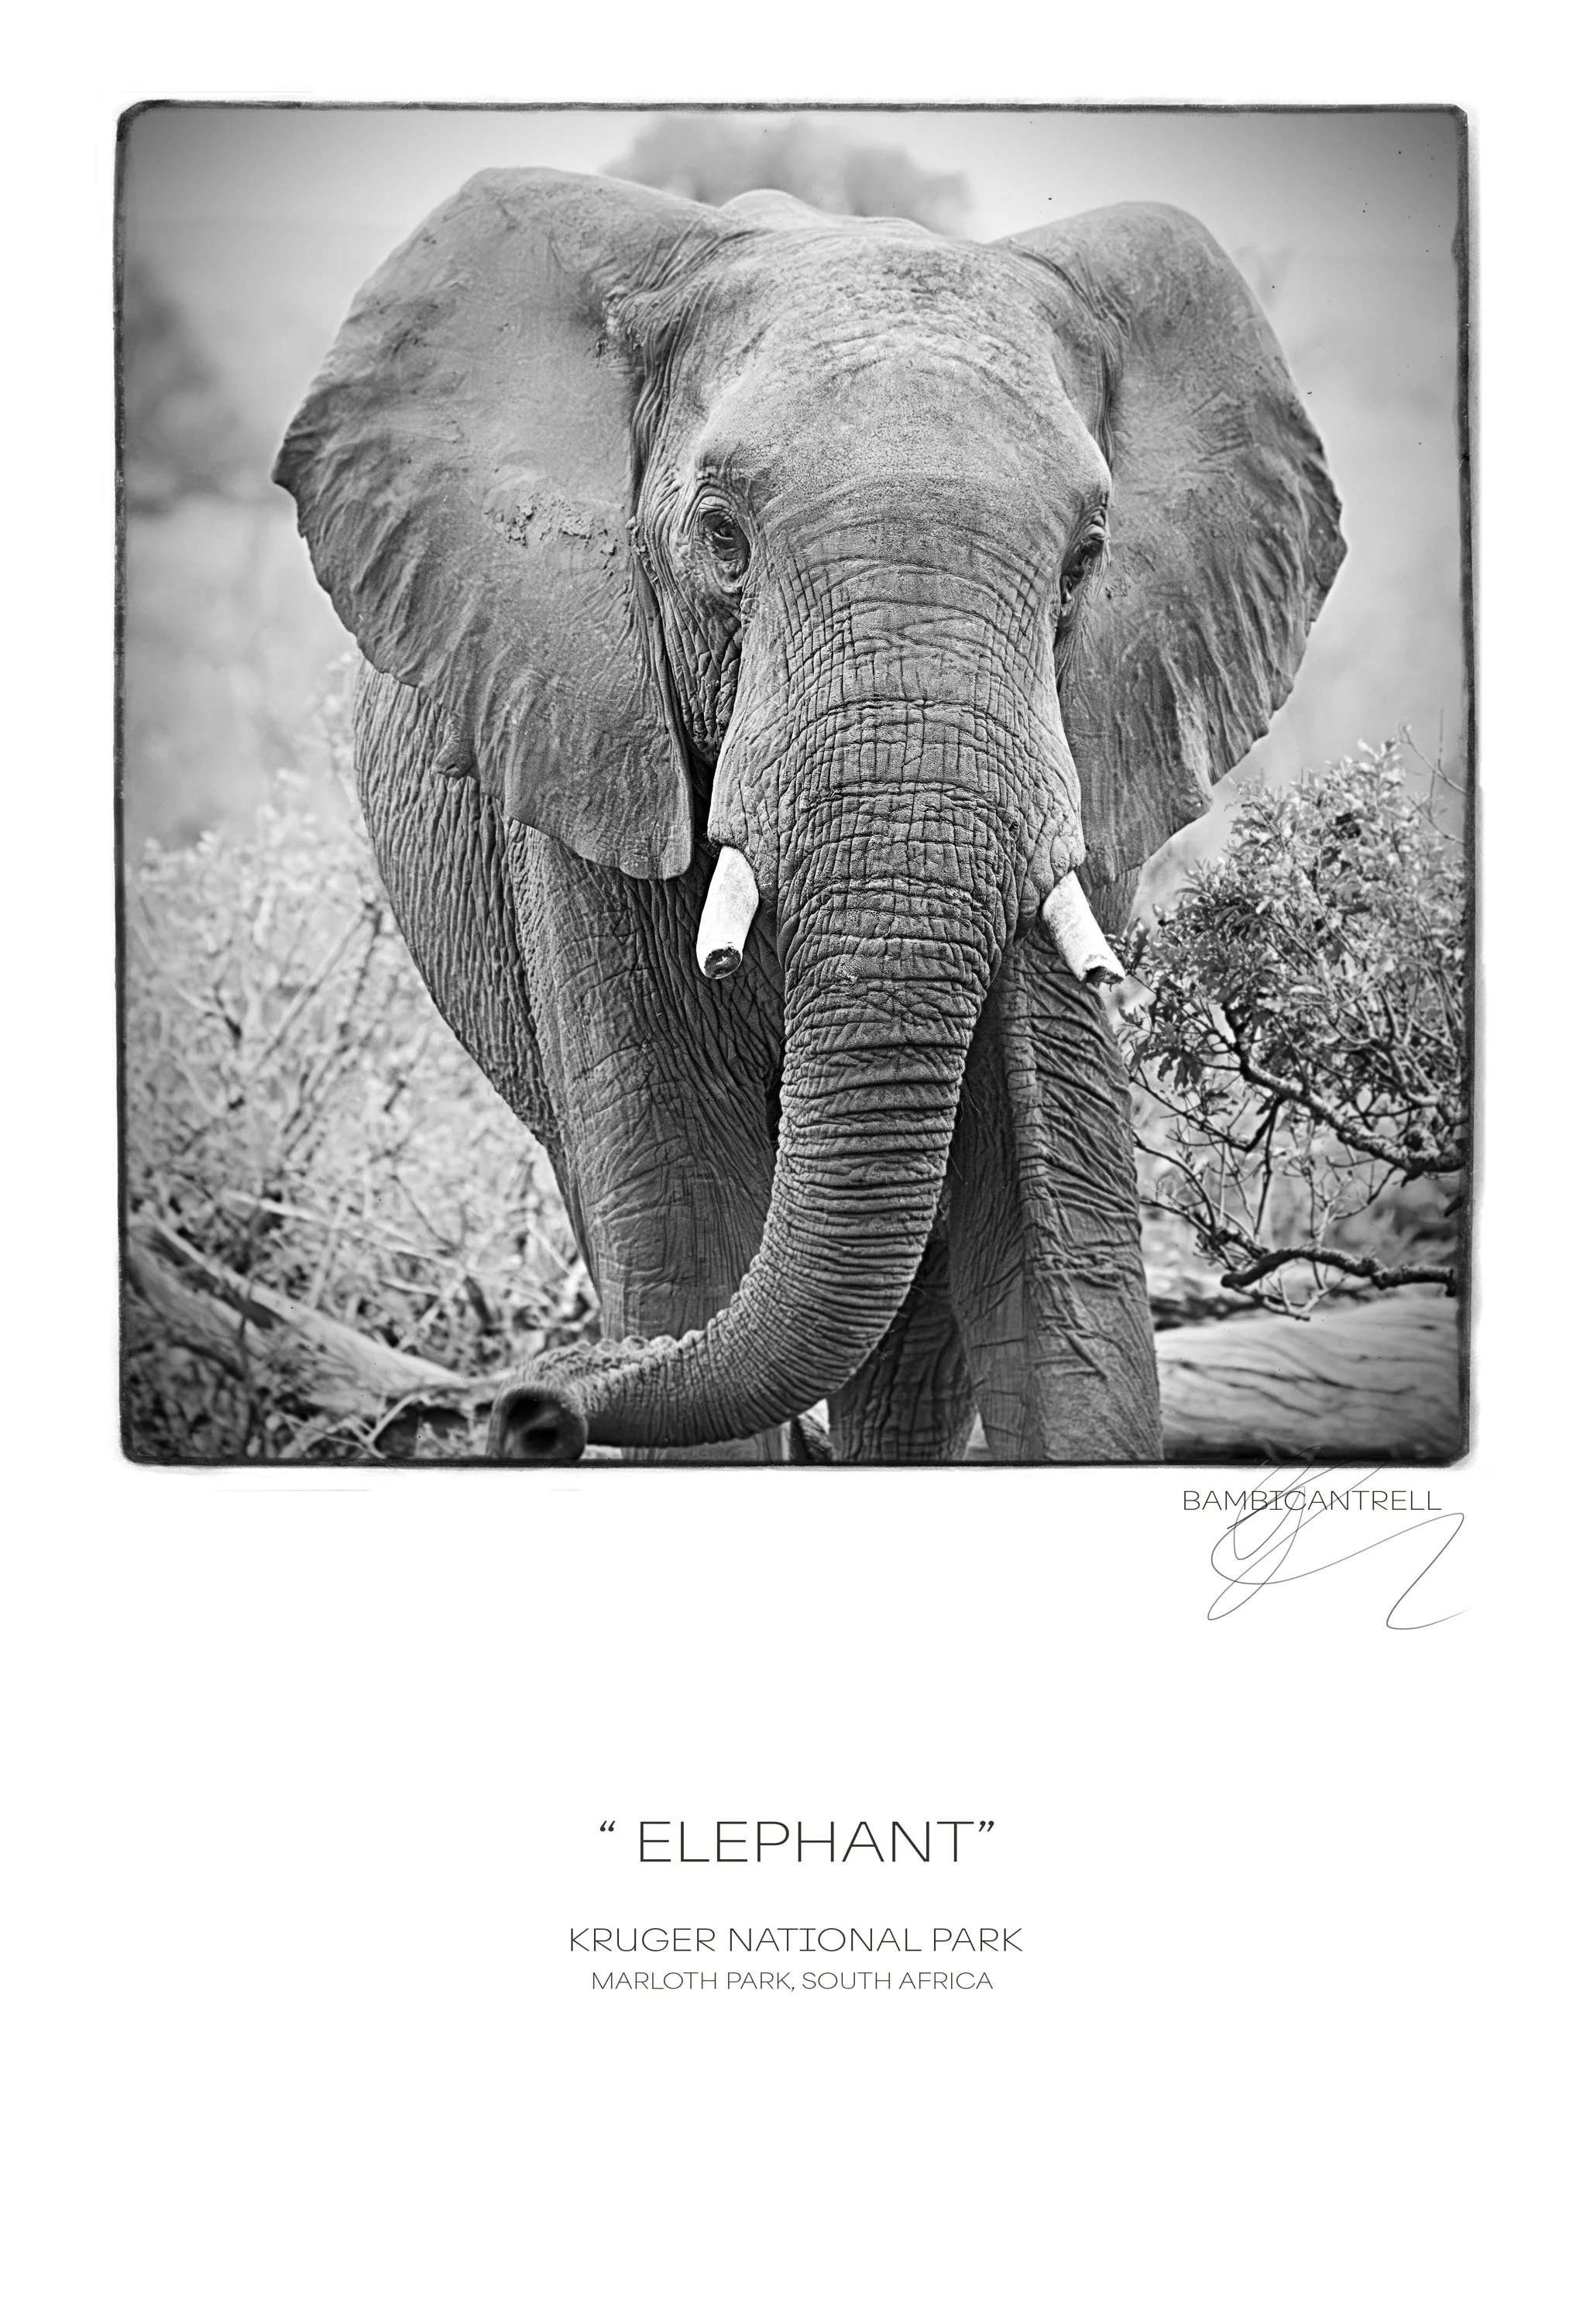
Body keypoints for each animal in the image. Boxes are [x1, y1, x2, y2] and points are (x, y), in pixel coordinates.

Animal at [273, 168, 1343, 1464]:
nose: (528, 1407)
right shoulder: (584, 764)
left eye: (1087, 558)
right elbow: (688, 1239)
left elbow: (1063, 1275)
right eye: (721, 537)